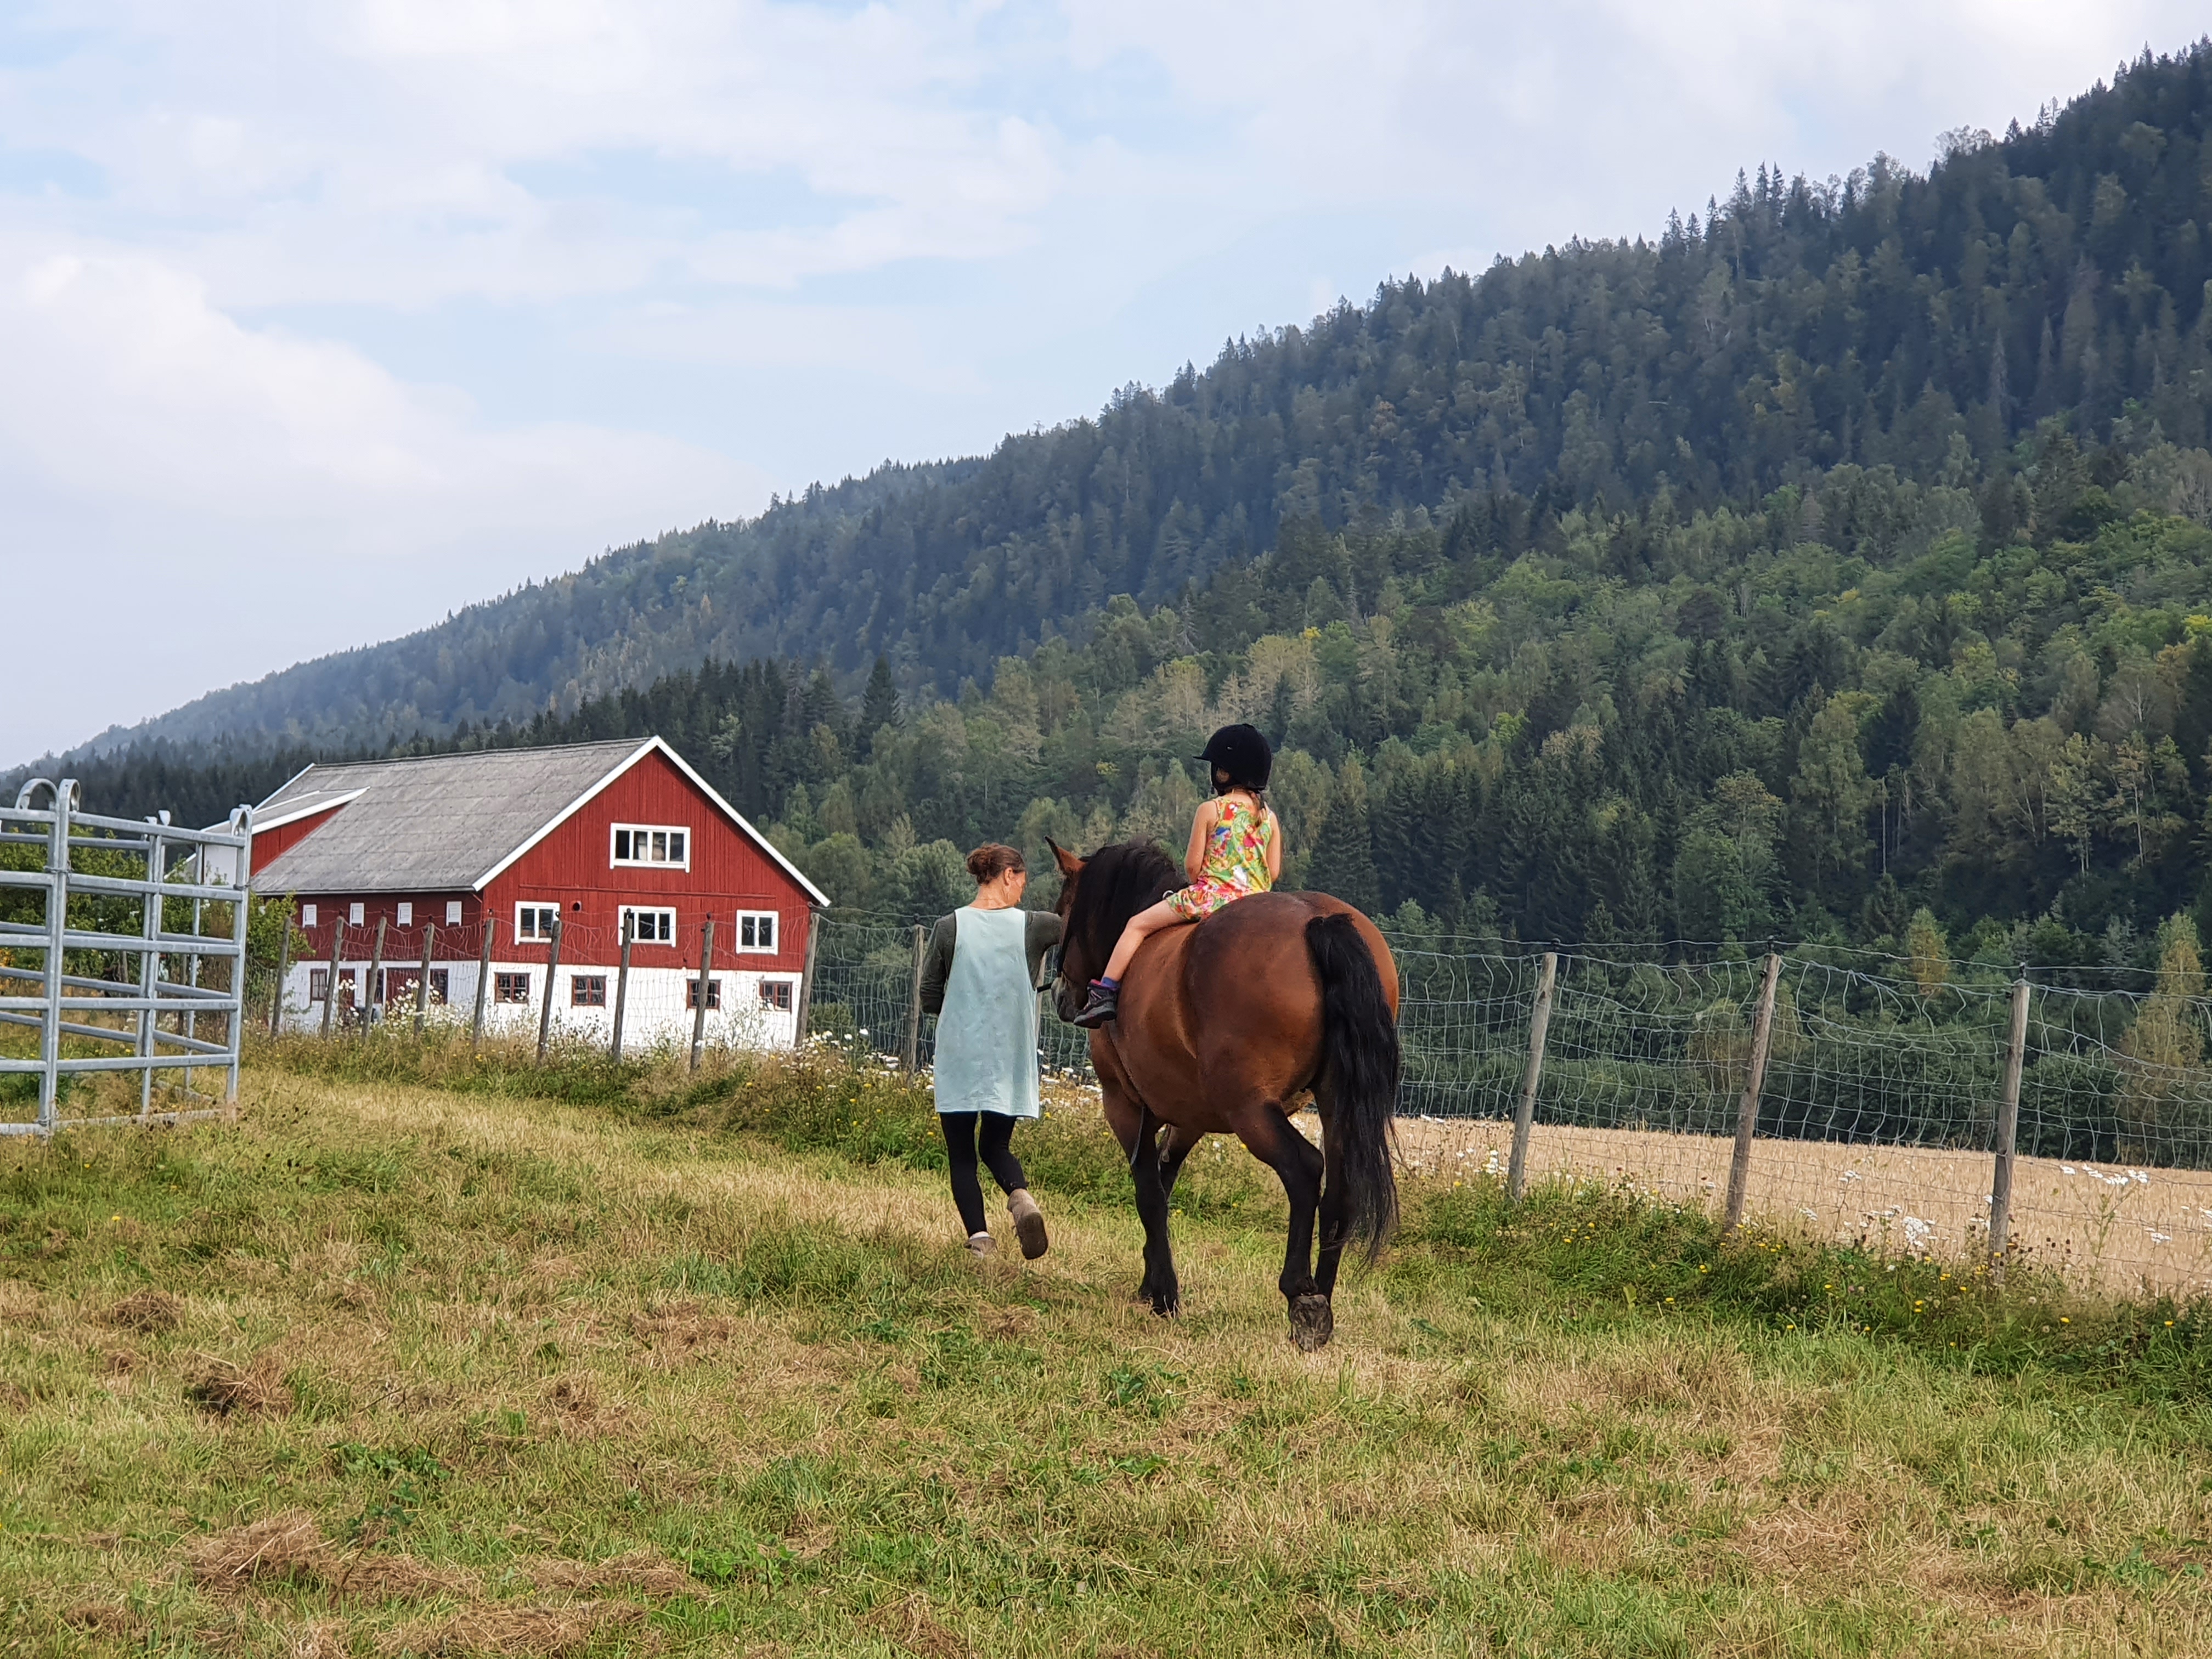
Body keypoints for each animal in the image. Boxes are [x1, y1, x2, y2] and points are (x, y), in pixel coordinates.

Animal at [1047, 838, 1401, 1351]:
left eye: (1062, 910)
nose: (1059, 995)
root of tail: (1316, 920)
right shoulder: (1188, 1117)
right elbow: (1162, 1182)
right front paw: (1151, 1280)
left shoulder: (1124, 1106)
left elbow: (1149, 1192)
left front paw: (1165, 1295)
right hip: (1337, 1104)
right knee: (1341, 1189)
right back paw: (1324, 1298)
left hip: (1249, 1110)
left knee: (1304, 1168)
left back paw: (1302, 1296)